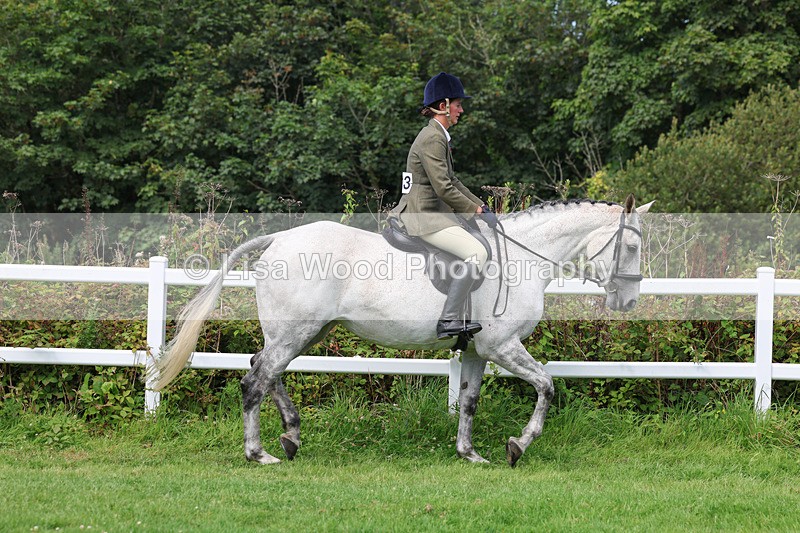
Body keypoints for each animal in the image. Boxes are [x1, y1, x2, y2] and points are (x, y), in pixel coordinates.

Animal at [147, 195, 653, 467]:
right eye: (630, 247)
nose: (628, 302)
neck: (524, 258)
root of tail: (280, 239)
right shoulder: (502, 346)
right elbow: (547, 384)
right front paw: (518, 445)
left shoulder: (477, 350)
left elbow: (469, 400)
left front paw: (470, 453)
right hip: (296, 331)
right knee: (254, 381)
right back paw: (260, 453)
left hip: (304, 332)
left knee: (266, 370)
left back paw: (291, 436)